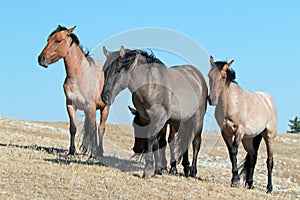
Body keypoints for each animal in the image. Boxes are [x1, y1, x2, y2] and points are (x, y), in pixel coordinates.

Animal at [37, 26, 110, 158]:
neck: (78, 76)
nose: (41, 59)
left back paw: (99, 152)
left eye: (58, 40)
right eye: (48, 40)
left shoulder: (90, 106)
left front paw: (93, 154)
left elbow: (93, 130)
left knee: (101, 128)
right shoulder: (71, 105)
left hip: (104, 108)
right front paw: (71, 151)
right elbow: (73, 128)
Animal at [101, 46, 206, 177]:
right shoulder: (147, 119)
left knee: (196, 141)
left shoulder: (160, 118)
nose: (105, 97)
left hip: (198, 117)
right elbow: (155, 142)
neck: (151, 86)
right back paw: (185, 168)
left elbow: (152, 137)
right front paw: (157, 169)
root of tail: (197, 75)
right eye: (105, 71)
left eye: (118, 70)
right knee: (185, 140)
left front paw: (149, 169)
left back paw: (193, 170)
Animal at [209, 55, 276, 193]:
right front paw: (235, 179)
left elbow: (234, 150)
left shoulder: (239, 130)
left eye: (223, 76)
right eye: (209, 75)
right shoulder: (225, 132)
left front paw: (235, 181)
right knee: (253, 156)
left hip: (269, 136)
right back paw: (250, 183)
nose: (212, 99)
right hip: (249, 139)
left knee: (269, 161)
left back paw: (269, 188)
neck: (231, 104)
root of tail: (268, 100)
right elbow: (231, 152)